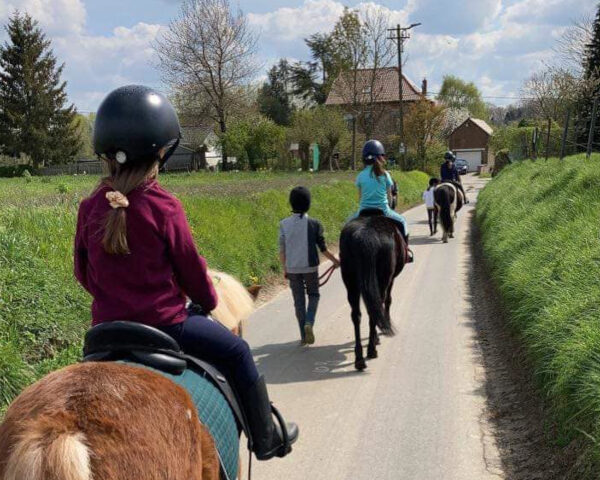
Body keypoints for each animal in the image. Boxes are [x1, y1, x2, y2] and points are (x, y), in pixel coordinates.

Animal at [338, 213, 408, 372]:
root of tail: (365, 235)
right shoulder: (391, 280)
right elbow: (388, 301)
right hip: (382, 279)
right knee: (374, 310)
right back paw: (371, 350)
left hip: (350, 283)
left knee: (356, 315)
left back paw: (359, 358)